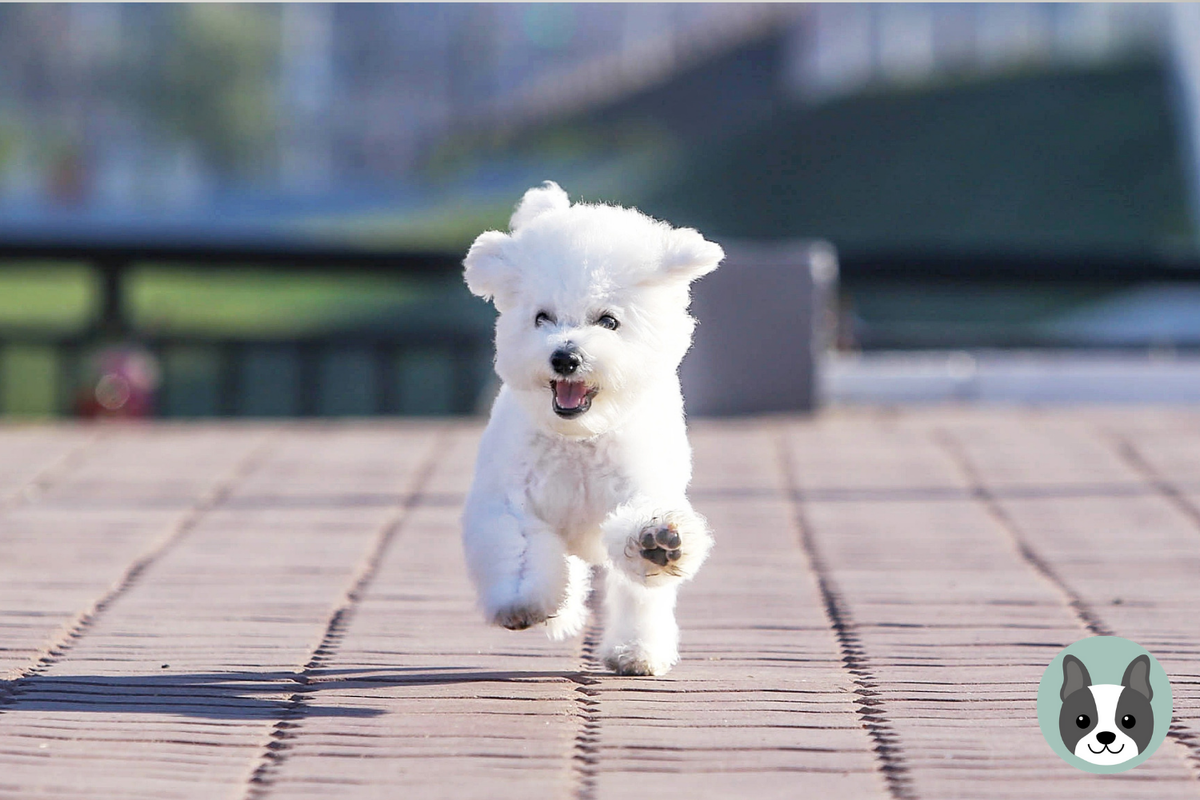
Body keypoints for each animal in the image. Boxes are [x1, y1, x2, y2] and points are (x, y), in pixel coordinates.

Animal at [458, 181, 720, 676]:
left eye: (608, 321)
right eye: (541, 317)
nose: (565, 357)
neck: (579, 440)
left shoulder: (640, 486)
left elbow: (641, 560)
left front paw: (658, 543)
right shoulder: (512, 501)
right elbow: (521, 550)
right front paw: (524, 602)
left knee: (638, 595)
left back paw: (636, 650)